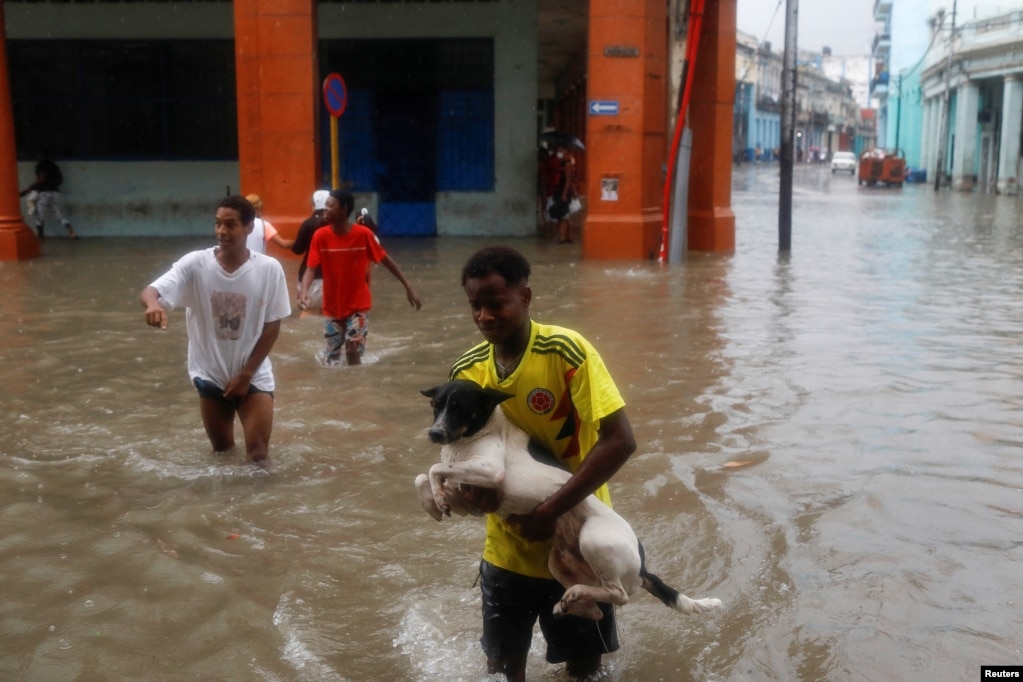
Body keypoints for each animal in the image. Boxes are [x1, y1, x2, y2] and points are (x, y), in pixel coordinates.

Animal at [413, 378, 720, 625]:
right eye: (436, 405)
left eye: (460, 407)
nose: (434, 434)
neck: (474, 436)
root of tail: (643, 568)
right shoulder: (470, 501)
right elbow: (422, 477)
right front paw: (433, 503)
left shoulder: (491, 470)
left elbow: (434, 469)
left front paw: (436, 495)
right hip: (558, 563)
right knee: (597, 609)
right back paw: (571, 602)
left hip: (594, 538)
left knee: (619, 595)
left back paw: (576, 594)